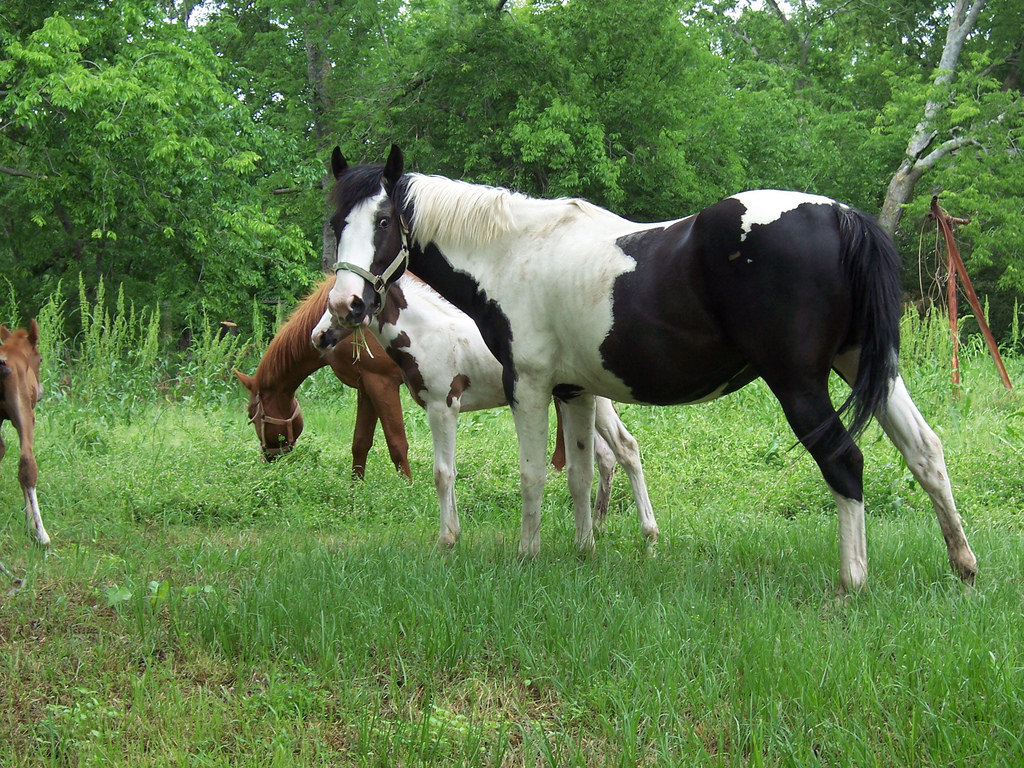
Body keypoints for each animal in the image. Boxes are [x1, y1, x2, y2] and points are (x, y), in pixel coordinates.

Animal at [234, 277, 411, 478]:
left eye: (251, 415)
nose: (268, 458)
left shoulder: (382, 382)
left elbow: (397, 445)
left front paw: (407, 486)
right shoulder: (366, 385)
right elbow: (360, 443)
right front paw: (355, 486)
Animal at [311, 272, 659, 550]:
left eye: (346, 306)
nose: (318, 337)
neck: (429, 335)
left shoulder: (442, 407)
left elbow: (442, 473)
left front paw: (446, 541)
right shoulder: (446, 411)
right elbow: (451, 470)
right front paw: (456, 534)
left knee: (625, 448)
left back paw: (648, 535)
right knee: (612, 453)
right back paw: (603, 526)